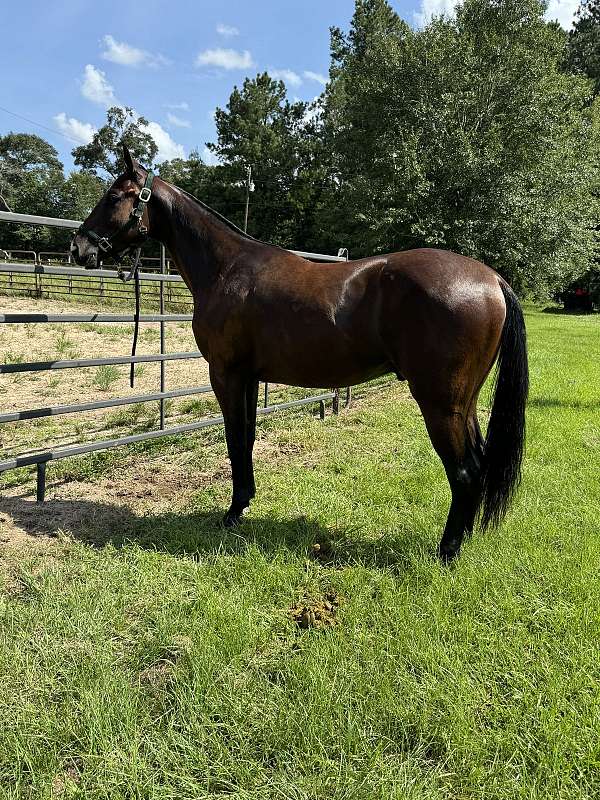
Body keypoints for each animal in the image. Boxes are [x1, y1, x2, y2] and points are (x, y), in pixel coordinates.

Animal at [71, 147, 528, 560]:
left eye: (115, 196)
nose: (78, 248)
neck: (227, 269)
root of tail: (492, 280)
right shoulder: (249, 376)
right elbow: (247, 437)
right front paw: (244, 503)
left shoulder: (226, 374)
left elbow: (235, 440)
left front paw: (232, 513)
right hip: (463, 403)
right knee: (478, 463)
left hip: (440, 403)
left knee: (464, 471)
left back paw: (447, 551)